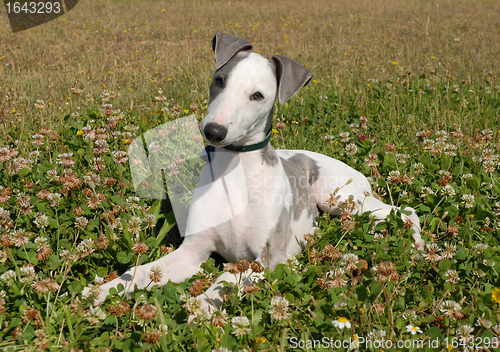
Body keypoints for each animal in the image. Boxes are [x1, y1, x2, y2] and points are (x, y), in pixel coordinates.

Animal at [88, 32, 424, 308]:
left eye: (258, 96)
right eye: (219, 80)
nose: (214, 131)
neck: (237, 169)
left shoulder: (267, 259)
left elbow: (223, 280)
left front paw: (202, 307)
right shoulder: (192, 252)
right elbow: (140, 271)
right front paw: (100, 292)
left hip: (341, 199)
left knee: (405, 211)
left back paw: (418, 246)